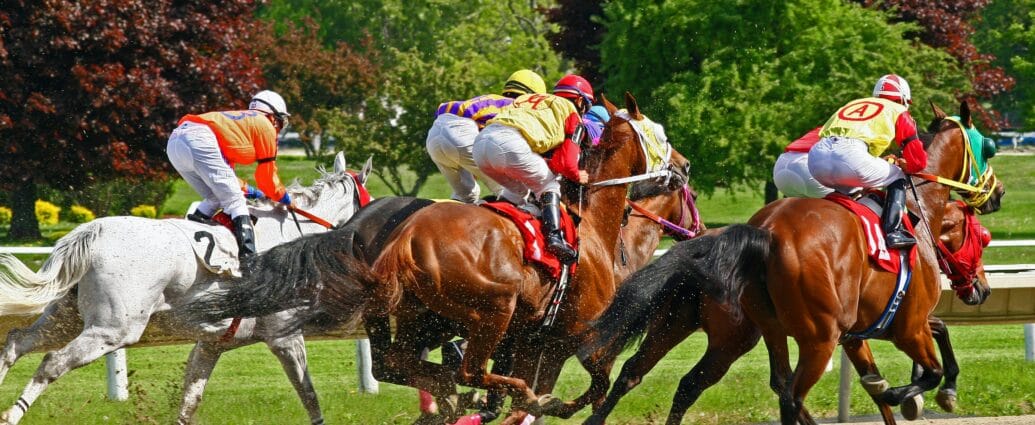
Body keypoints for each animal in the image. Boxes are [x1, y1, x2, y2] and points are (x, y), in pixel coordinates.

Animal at [0, 152, 370, 425]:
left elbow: (190, 397)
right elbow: (308, 392)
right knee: (53, 362)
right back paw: (11, 415)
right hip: (113, 328)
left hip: (67, 317)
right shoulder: (284, 335)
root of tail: (91, 231)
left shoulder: (212, 342)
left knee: (17, 342)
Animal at [578, 198, 992, 425]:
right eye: (980, 235)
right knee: (784, 393)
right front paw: (912, 393)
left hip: (685, 323)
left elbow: (928, 342)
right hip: (779, 339)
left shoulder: (860, 334)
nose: (982, 290)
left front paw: (919, 392)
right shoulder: (905, 326)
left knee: (638, 373)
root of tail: (764, 234)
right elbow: (927, 368)